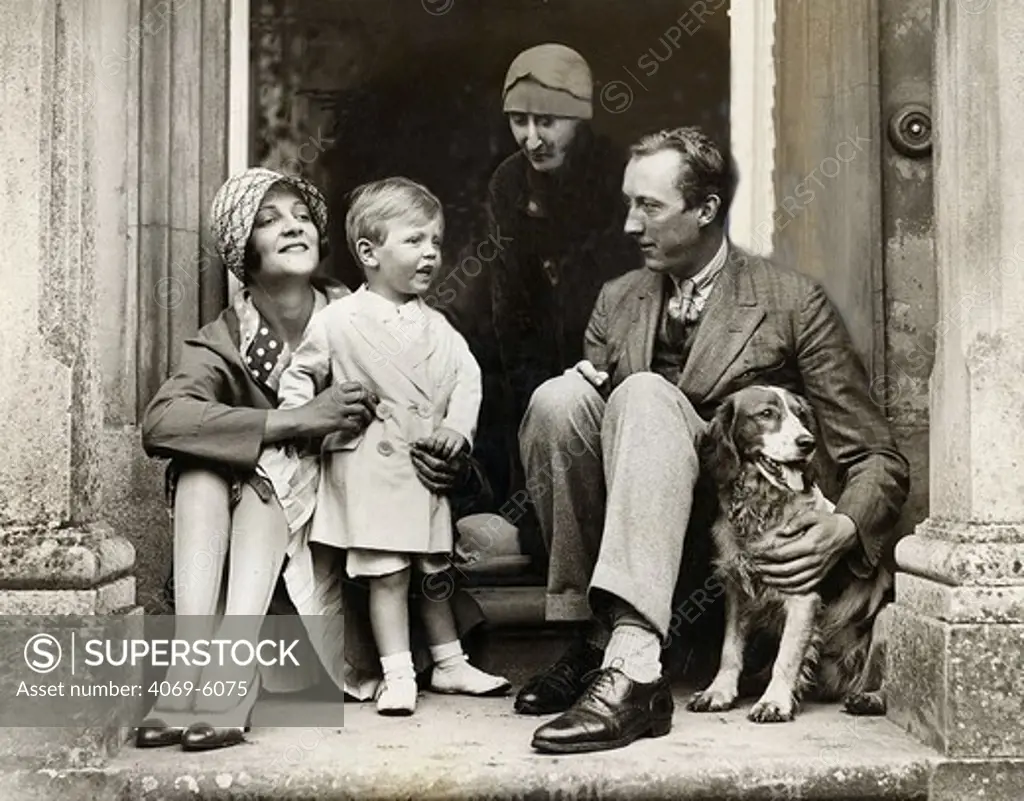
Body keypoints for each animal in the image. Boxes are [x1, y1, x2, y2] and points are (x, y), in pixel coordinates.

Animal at [688, 385, 888, 725]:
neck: (759, 511)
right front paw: (719, 691)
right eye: (766, 414)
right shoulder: (737, 590)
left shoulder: (802, 595)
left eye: (801, 415)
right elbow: (730, 649)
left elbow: (788, 655)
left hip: (884, 621)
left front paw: (775, 702)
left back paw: (869, 699)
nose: (807, 442)